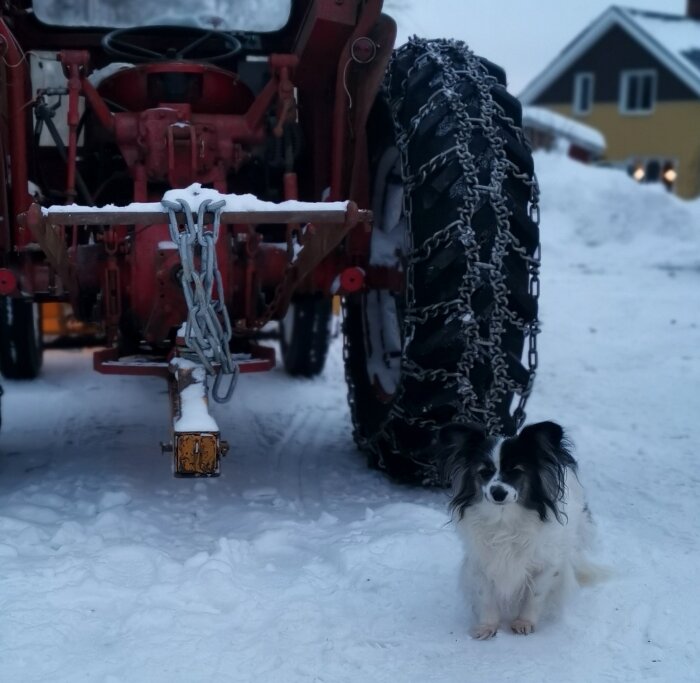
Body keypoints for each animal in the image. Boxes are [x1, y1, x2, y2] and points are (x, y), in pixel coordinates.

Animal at [442, 420, 596, 640]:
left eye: (515, 471)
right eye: (484, 472)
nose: (497, 493)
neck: (504, 520)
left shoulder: (547, 565)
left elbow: (535, 595)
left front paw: (524, 623)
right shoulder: (481, 561)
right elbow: (485, 595)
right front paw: (487, 626)